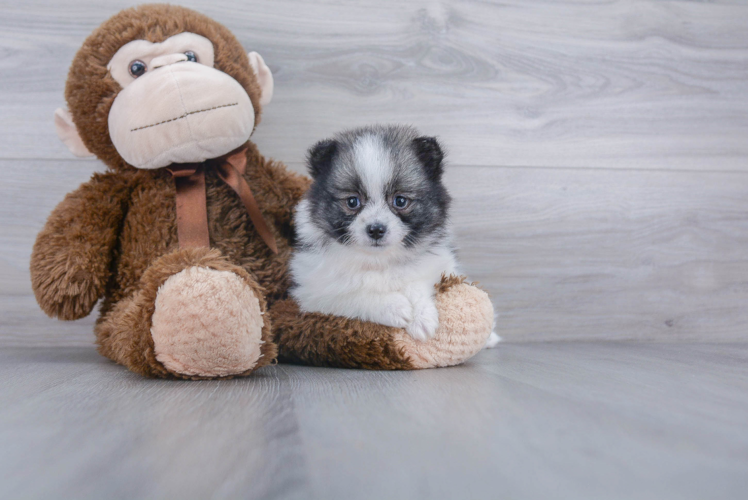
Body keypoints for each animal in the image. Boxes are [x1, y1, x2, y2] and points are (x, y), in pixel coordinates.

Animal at [290, 125, 496, 346]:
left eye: (400, 200)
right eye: (352, 202)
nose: (376, 229)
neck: (380, 259)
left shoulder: (439, 265)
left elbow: (417, 281)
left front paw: (422, 316)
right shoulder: (312, 292)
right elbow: (352, 294)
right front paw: (394, 307)